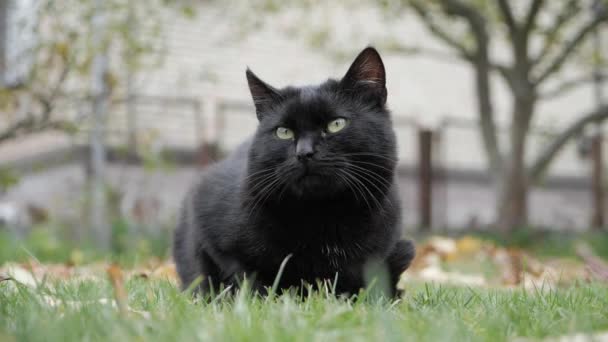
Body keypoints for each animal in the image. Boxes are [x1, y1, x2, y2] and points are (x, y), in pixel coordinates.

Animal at [173, 46, 416, 298]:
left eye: (336, 124)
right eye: (284, 132)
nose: (304, 153)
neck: (323, 214)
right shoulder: (210, 224)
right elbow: (244, 276)